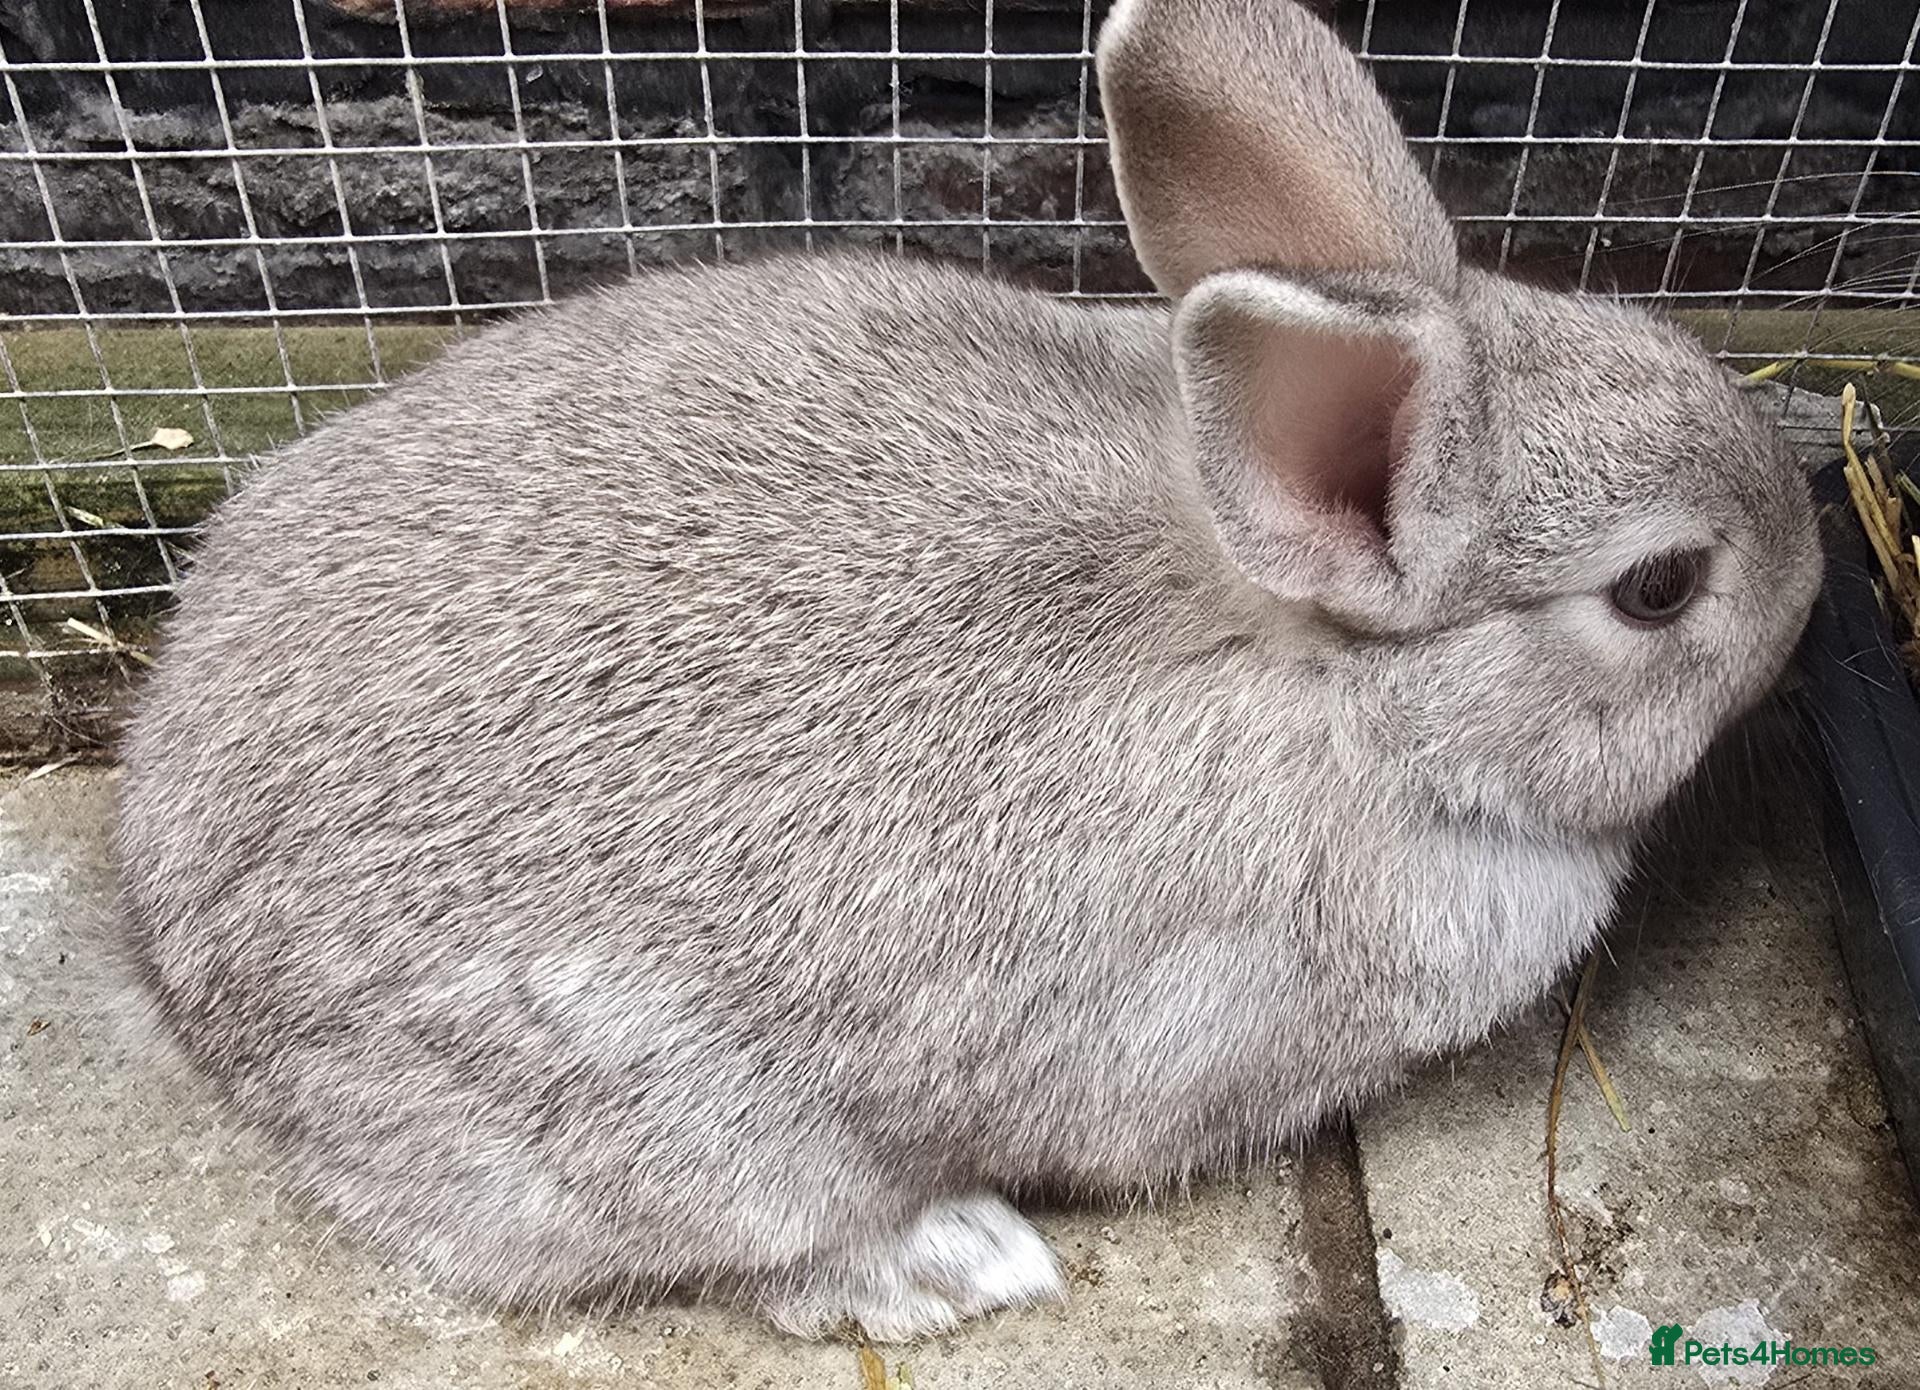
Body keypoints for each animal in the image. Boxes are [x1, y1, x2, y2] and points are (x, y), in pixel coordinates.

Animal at [113, 0, 1821, 1343]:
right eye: (1661, 587)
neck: (1356, 695)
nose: (1816, 573)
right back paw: (956, 1261)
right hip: (683, 1129)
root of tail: (175, 959)